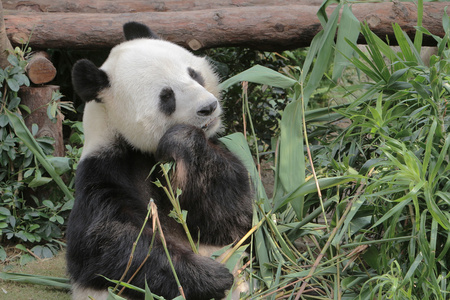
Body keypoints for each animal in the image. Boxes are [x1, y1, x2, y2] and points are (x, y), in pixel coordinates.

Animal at [67, 21, 253, 300]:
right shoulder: (103, 172)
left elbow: (231, 217)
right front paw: (212, 277)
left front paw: (182, 139)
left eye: (193, 74)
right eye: (166, 96)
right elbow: (110, 244)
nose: (209, 107)